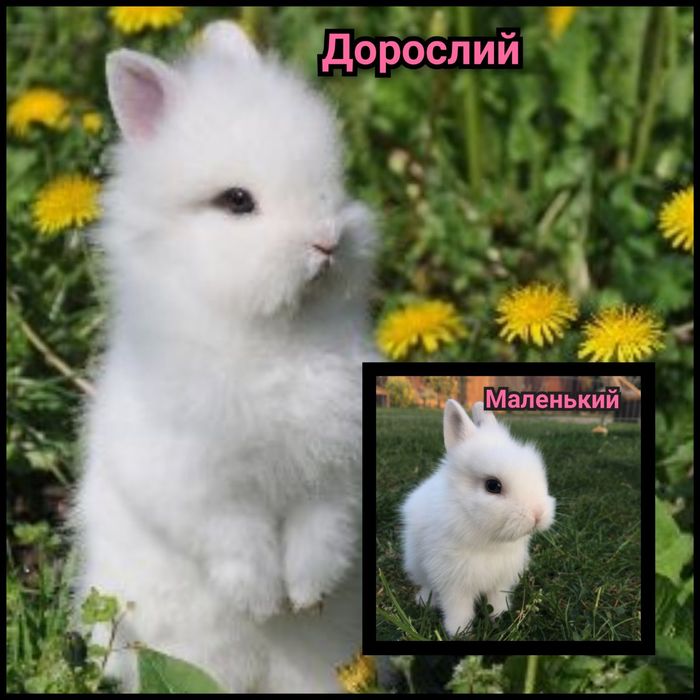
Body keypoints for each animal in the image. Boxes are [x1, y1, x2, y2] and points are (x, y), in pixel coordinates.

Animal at [71, 21, 376, 693]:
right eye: (237, 201)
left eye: (333, 180)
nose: (328, 242)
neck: (273, 335)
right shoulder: (197, 481)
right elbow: (234, 539)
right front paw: (264, 601)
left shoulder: (335, 470)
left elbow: (324, 530)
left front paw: (306, 595)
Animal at [400, 399, 555, 637]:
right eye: (493, 485)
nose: (537, 515)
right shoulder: (454, 583)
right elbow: (459, 611)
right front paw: (459, 633)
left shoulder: (501, 579)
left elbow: (497, 600)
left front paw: (499, 617)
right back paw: (424, 601)